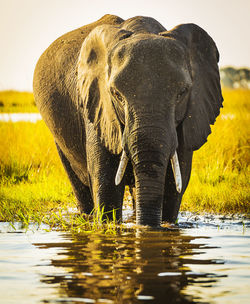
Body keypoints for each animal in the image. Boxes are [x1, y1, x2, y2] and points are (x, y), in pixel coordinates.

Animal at [32, 15, 223, 227]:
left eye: (182, 93)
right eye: (116, 94)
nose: (146, 226)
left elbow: (174, 185)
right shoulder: (98, 108)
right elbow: (106, 183)